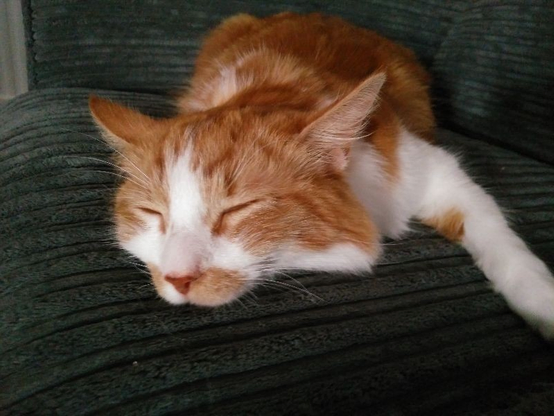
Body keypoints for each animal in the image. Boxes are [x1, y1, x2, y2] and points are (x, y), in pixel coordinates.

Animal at [89, 12, 552, 338]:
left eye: (238, 210)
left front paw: (542, 303)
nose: (177, 278)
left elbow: (498, 236)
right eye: (154, 214)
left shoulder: (429, 169)